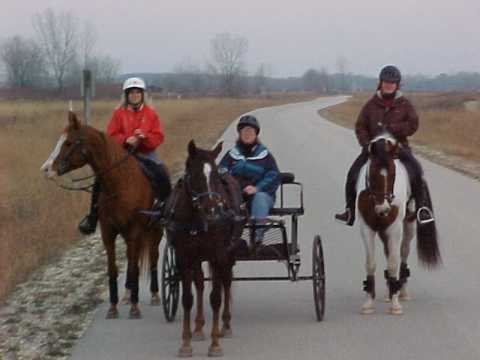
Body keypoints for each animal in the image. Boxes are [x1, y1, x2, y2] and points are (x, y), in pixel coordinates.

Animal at [40, 112, 171, 318]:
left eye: (68, 142)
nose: (45, 169)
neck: (120, 184)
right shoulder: (108, 233)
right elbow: (113, 269)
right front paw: (113, 307)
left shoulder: (135, 231)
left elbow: (134, 268)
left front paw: (135, 308)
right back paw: (127, 295)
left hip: (154, 232)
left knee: (152, 257)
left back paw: (155, 295)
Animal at [167, 141, 244, 358]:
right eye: (194, 174)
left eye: (216, 175)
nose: (212, 209)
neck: (198, 220)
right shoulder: (184, 258)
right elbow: (187, 299)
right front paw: (186, 344)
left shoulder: (218, 255)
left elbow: (216, 298)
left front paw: (215, 344)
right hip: (197, 258)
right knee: (200, 283)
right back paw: (199, 328)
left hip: (227, 254)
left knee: (226, 282)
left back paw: (225, 325)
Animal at [354, 132, 440, 316]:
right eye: (372, 174)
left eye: (393, 174)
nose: (384, 209)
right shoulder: (367, 228)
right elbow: (370, 263)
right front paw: (368, 303)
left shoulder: (394, 228)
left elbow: (394, 262)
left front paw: (395, 304)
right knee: (389, 253)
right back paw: (389, 290)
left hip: (407, 226)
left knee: (403, 254)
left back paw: (402, 291)